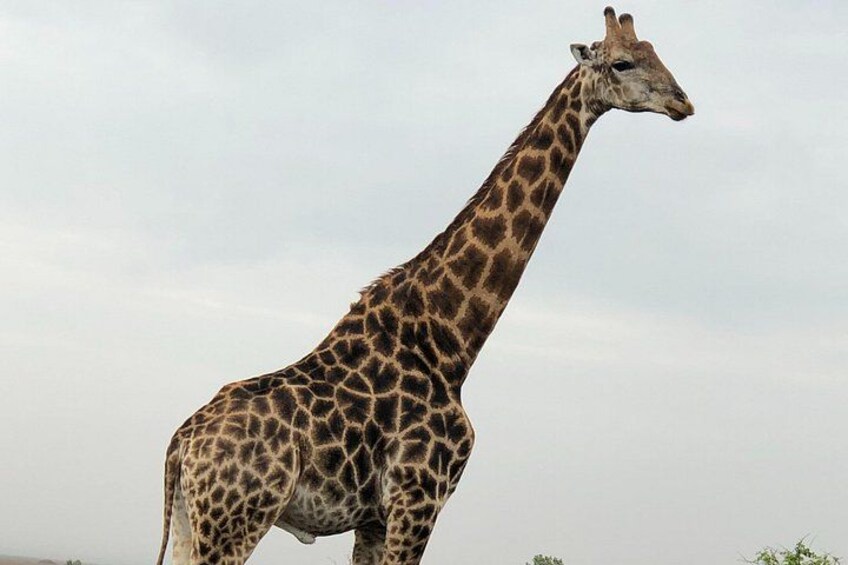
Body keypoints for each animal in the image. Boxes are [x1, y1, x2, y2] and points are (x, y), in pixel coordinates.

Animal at [156, 7, 694, 565]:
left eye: (656, 52)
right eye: (623, 63)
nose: (683, 101)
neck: (451, 340)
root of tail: (180, 446)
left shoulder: (375, 518)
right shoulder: (419, 497)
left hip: (194, 524)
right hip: (236, 520)